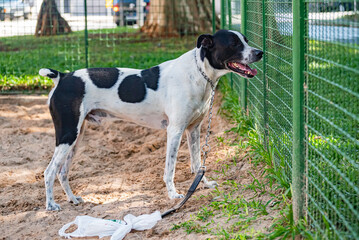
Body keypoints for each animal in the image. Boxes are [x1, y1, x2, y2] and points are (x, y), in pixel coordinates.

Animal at [40, 29, 262, 210]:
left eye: (246, 40)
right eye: (234, 43)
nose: (259, 53)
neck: (197, 74)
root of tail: (62, 77)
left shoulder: (194, 130)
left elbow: (197, 163)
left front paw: (204, 184)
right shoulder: (175, 131)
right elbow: (170, 168)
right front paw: (173, 195)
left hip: (76, 138)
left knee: (62, 172)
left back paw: (73, 199)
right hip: (68, 134)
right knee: (50, 171)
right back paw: (51, 205)